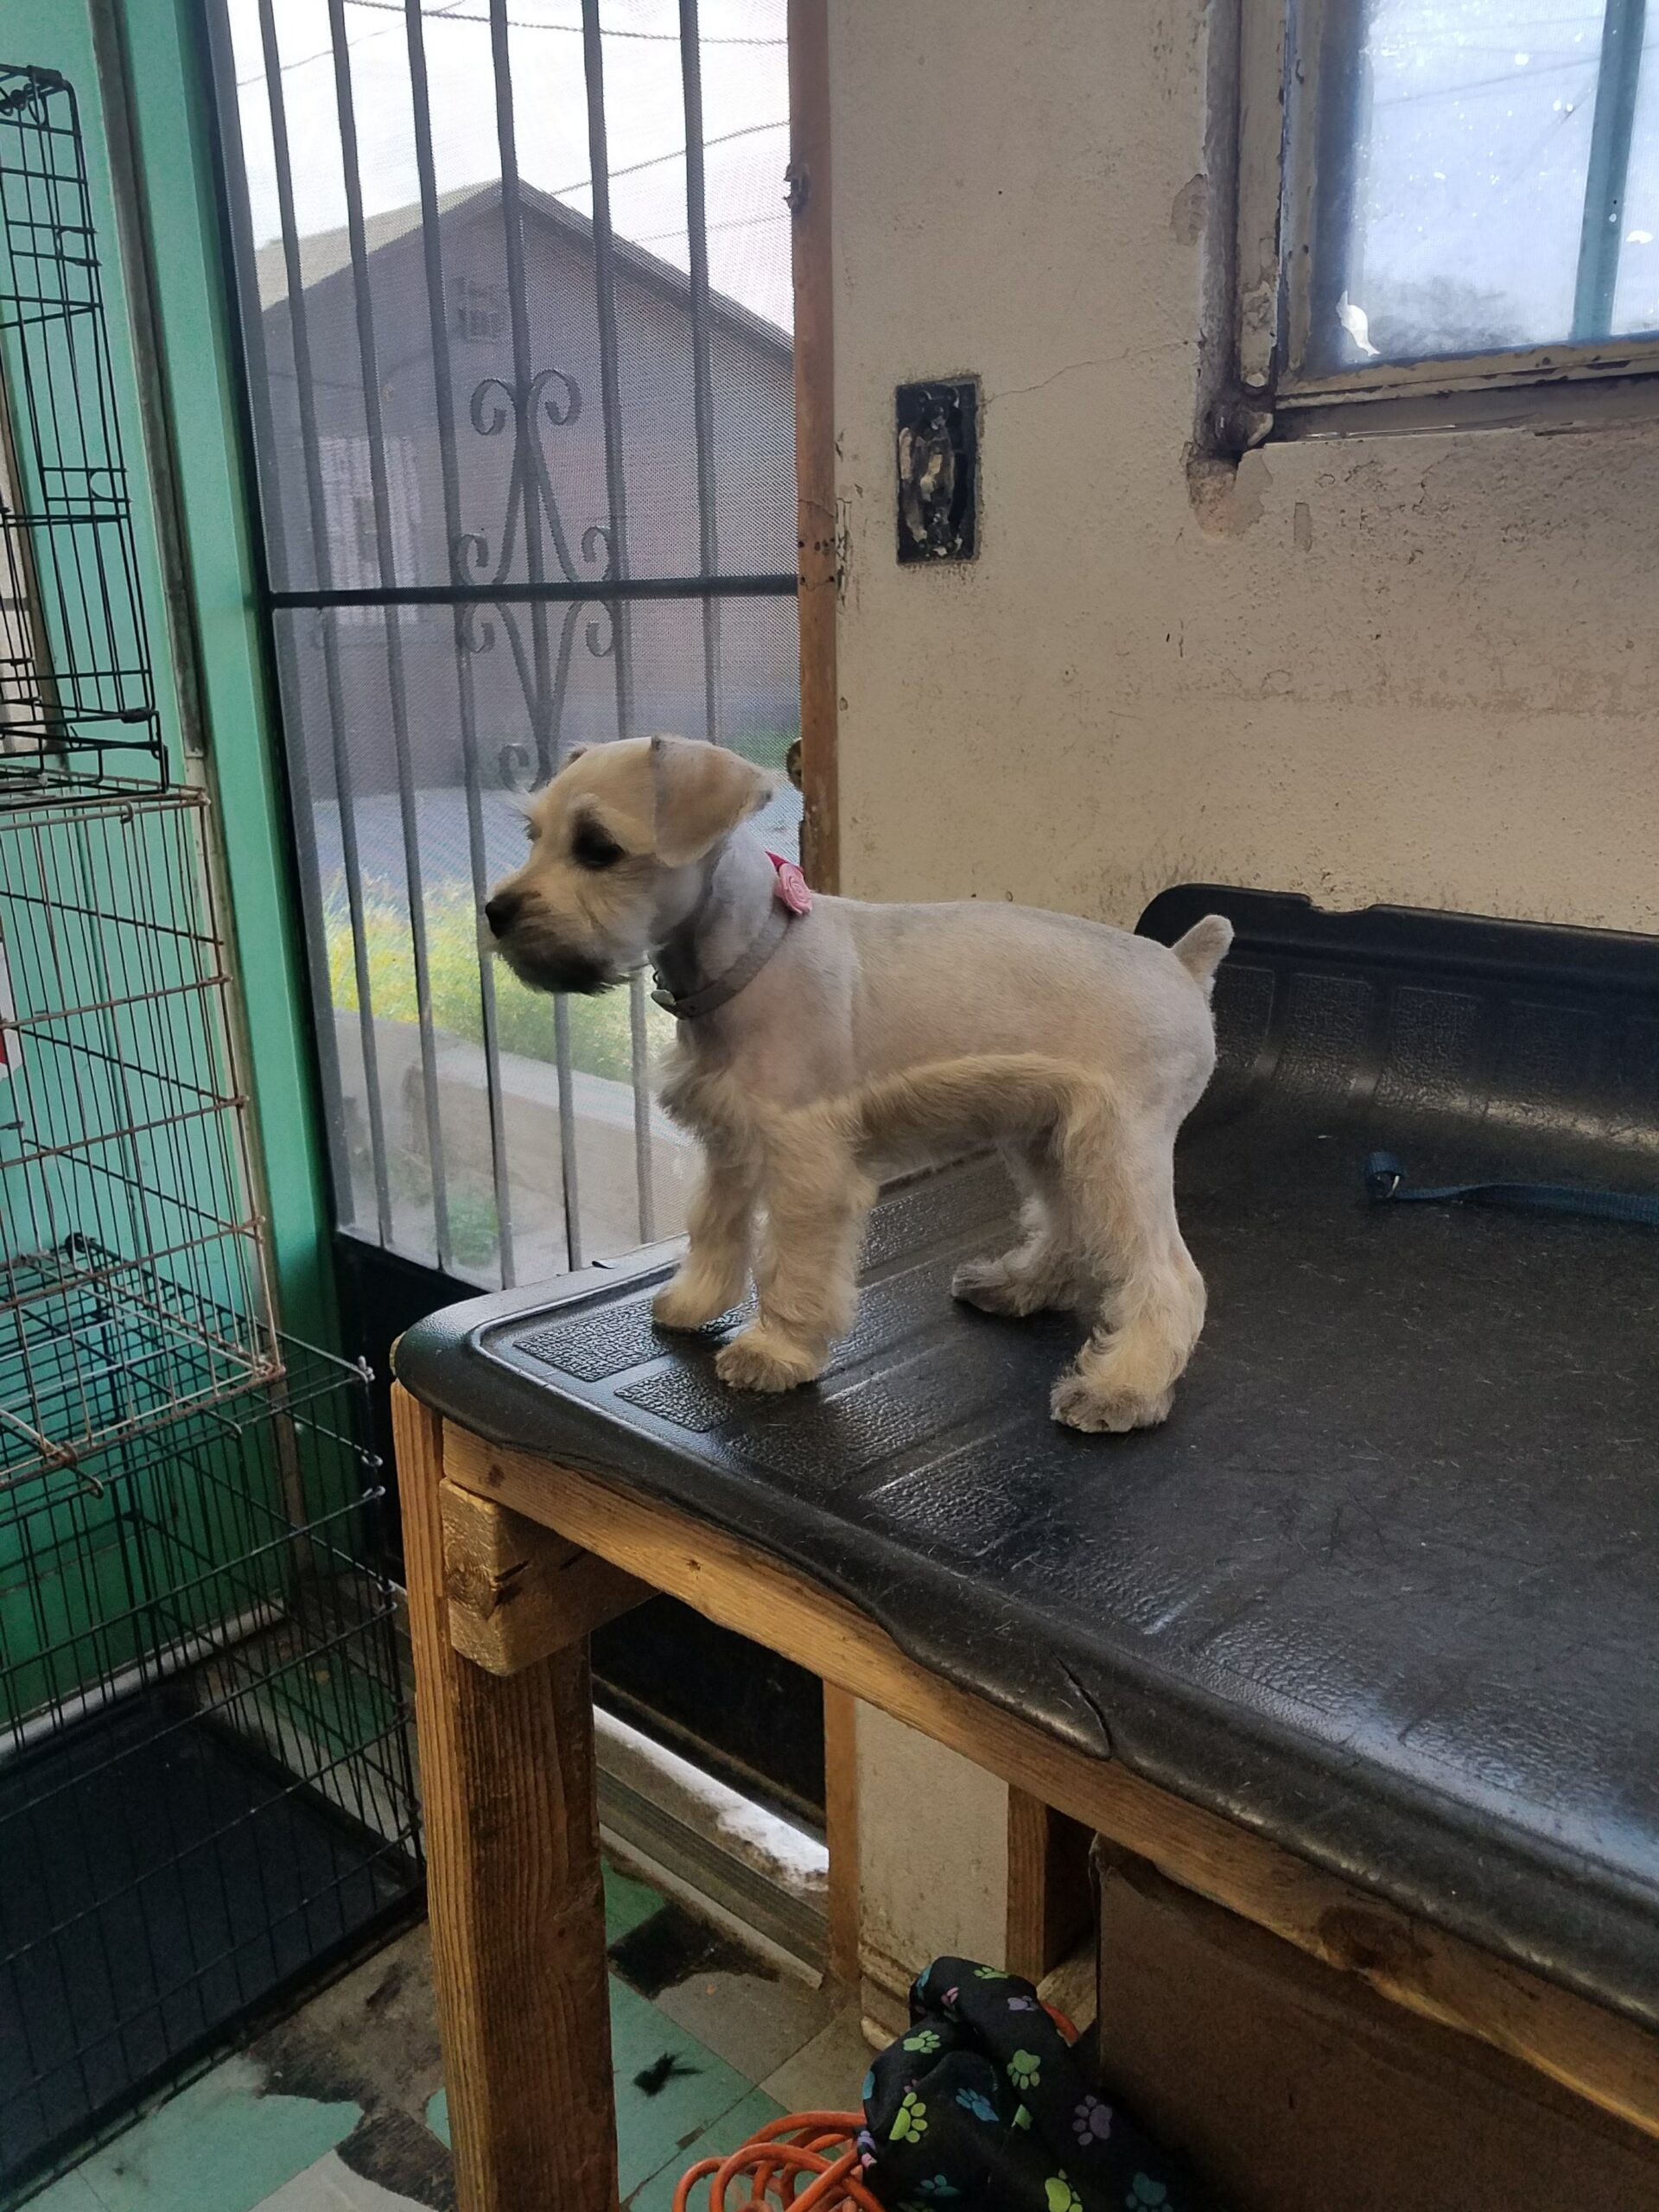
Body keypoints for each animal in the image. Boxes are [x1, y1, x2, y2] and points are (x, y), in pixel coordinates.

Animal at [485, 734, 1231, 1432]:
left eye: (598, 847)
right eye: (534, 834)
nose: (495, 911)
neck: (752, 955)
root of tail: (1181, 964)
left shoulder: (807, 1165)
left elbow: (791, 1265)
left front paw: (775, 1351)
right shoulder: (729, 1143)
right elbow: (715, 1226)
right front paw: (697, 1300)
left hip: (1117, 1152)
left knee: (1169, 1277)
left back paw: (1122, 1389)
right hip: (1051, 1141)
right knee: (1071, 1229)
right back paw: (1018, 1286)